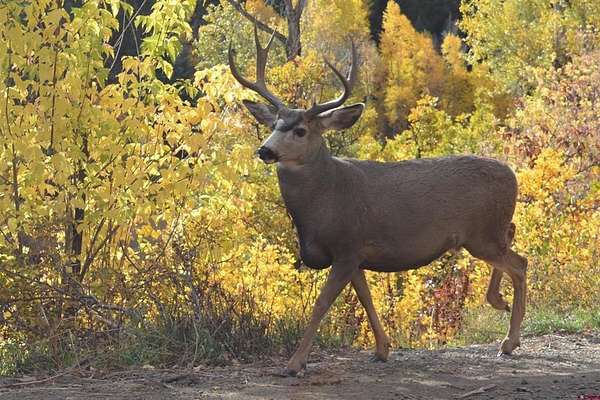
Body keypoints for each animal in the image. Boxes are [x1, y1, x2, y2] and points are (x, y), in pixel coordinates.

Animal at [228, 28, 528, 376]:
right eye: (274, 125)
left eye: (300, 130)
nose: (265, 150)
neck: (325, 202)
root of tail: (512, 174)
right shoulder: (355, 254)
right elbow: (366, 297)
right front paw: (382, 349)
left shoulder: (346, 246)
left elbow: (321, 304)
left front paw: (294, 363)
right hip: (488, 233)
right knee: (513, 240)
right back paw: (499, 303)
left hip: (482, 234)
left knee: (520, 263)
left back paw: (509, 340)